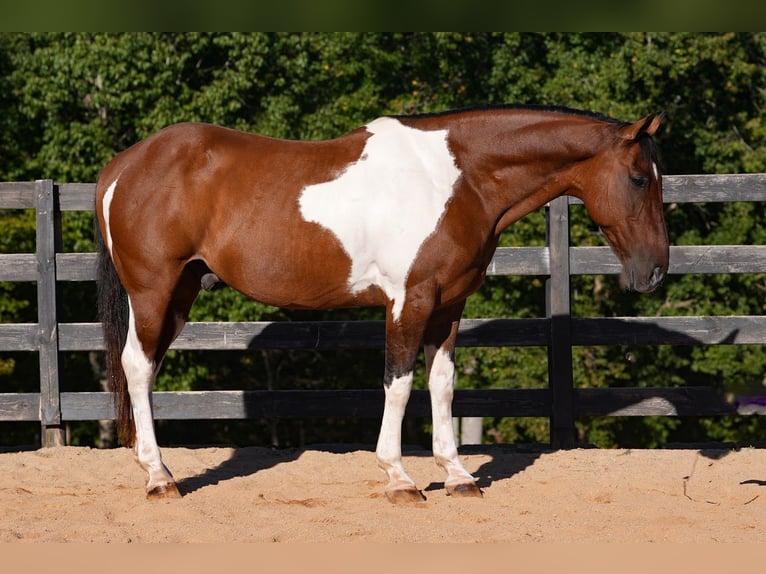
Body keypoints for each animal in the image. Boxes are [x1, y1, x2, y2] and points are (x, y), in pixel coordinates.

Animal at [95, 104, 669, 504]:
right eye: (639, 178)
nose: (656, 271)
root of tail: (123, 166)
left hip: (182, 291)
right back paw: (158, 478)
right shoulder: (408, 300)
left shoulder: (448, 305)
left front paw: (457, 476)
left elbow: (442, 384)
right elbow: (399, 383)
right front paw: (398, 478)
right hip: (154, 289)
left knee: (146, 368)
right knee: (137, 367)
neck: (456, 180)